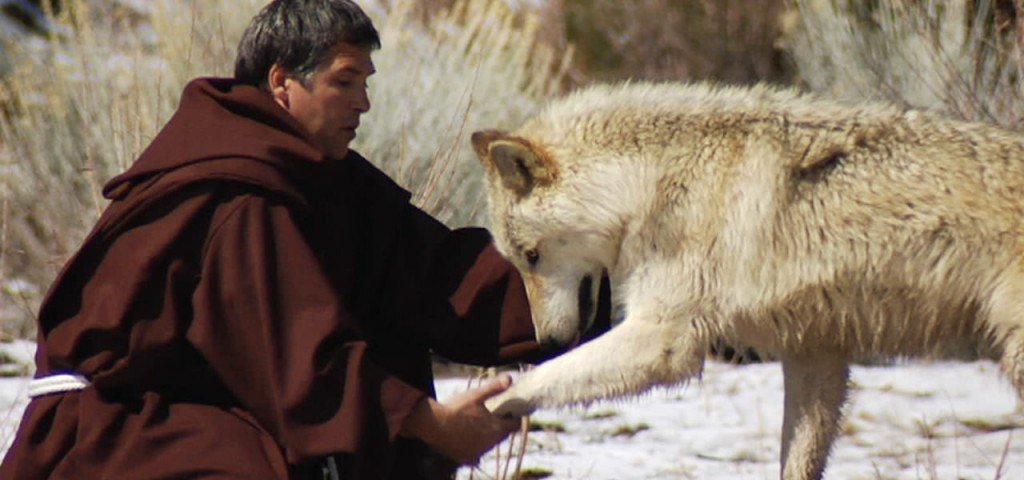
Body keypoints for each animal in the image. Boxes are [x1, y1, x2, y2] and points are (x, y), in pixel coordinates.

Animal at [470, 82, 1024, 480]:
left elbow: (528, 386)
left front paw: (469, 419)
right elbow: (796, 461)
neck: (644, 187)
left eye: (531, 256)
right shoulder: (815, 352)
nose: (547, 339)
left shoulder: (663, 340)